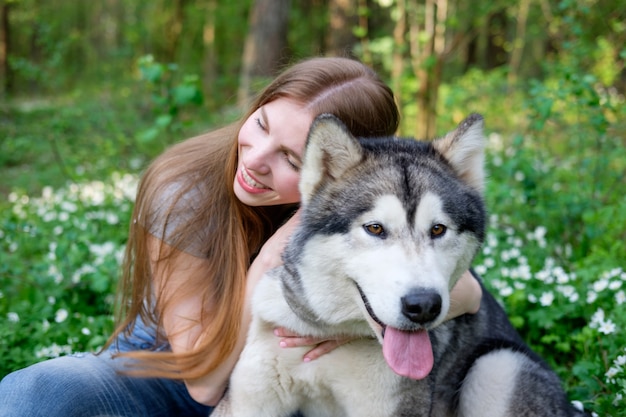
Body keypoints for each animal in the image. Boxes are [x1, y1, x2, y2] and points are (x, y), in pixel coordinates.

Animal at [212, 114, 584, 416]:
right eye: (375, 228)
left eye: (438, 229)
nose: (424, 306)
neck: (334, 334)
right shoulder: (249, 399)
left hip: (498, 366)